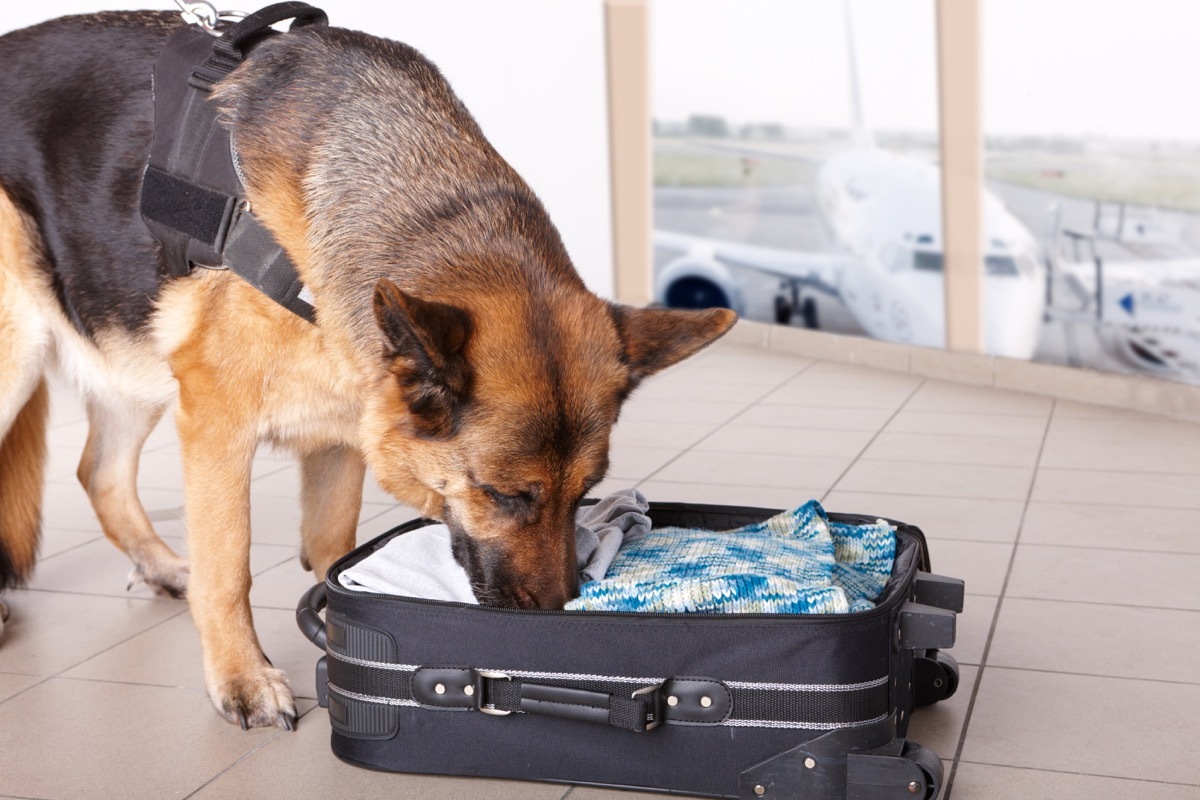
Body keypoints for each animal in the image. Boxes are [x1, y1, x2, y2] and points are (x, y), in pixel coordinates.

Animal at [0, 10, 734, 724]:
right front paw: (241, 677)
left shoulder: (345, 426)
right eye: (503, 495)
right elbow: (229, 566)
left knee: (98, 472)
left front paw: (345, 613)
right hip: (22, 360)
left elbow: (335, 543)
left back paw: (160, 566)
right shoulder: (215, 423)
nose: (558, 615)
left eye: (585, 492)